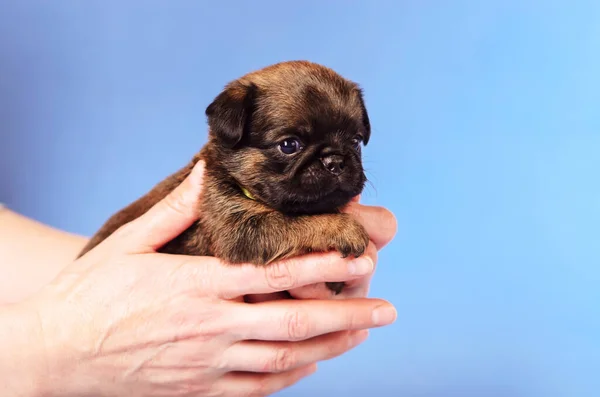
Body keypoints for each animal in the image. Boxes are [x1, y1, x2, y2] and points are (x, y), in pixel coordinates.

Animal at [77, 59, 372, 294]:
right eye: (289, 145)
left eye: (356, 141)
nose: (335, 161)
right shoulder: (242, 230)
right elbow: (300, 222)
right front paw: (343, 229)